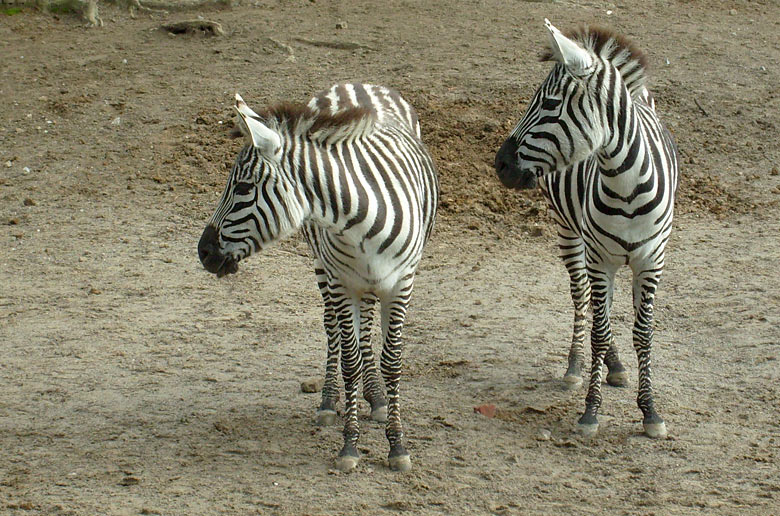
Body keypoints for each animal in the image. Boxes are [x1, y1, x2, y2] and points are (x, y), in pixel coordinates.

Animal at [197, 81, 438, 472]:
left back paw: (375, 397)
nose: (203, 252)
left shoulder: (401, 284)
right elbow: (350, 360)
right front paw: (350, 444)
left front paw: (397, 444)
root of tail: (355, 82)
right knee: (332, 328)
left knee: (365, 325)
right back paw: (329, 401)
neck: (360, 222)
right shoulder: (341, 281)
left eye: (244, 188)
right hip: (324, 266)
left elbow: (392, 361)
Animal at [496, 21, 680, 440]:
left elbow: (643, 332)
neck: (626, 184)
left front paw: (650, 411)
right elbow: (599, 327)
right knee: (584, 300)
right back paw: (577, 365)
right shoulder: (600, 259)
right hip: (570, 233)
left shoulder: (651, 261)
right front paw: (591, 410)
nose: (500, 164)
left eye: (549, 104)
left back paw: (616, 366)